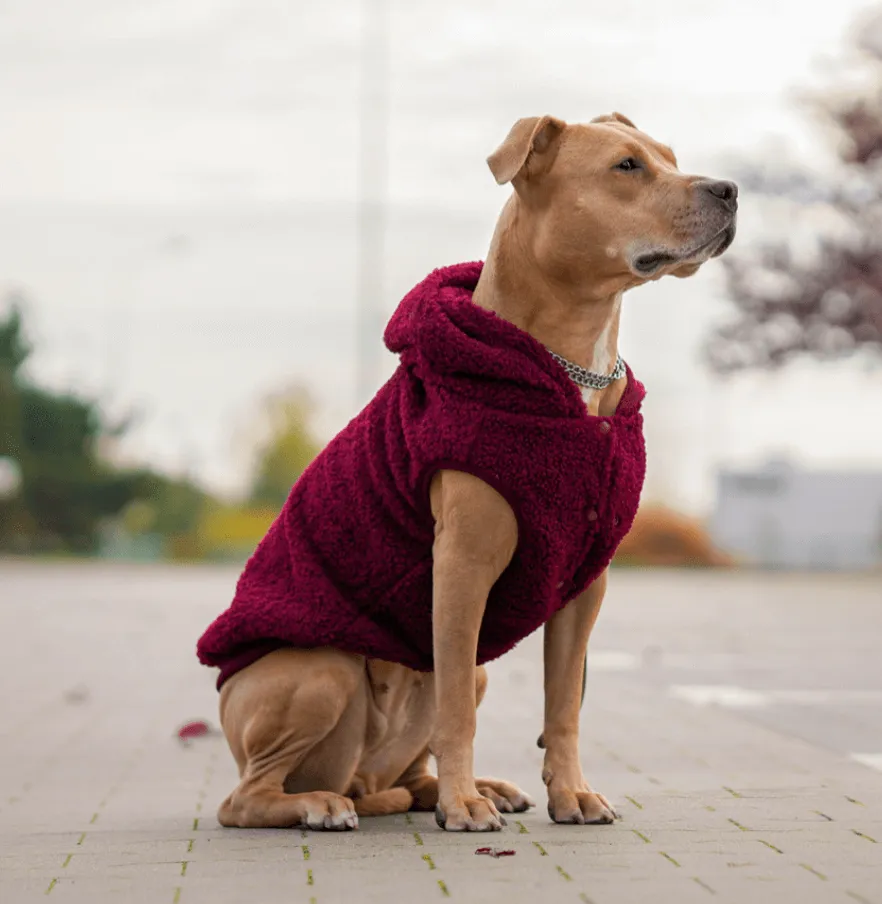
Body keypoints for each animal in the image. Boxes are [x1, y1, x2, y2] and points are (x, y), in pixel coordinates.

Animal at [213, 111, 736, 832]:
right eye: (627, 166)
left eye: (671, 157)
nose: (729, 189)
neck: (575, 371)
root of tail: (357, 779)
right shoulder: (461, 568)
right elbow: (457, 702)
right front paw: (463, 807)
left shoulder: (585, 582)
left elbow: (563, 703)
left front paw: (569, 793)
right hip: (321, 671)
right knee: (246, 798)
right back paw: (328, 804)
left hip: (415, 713)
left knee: (405, 772)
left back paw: (457, 789)